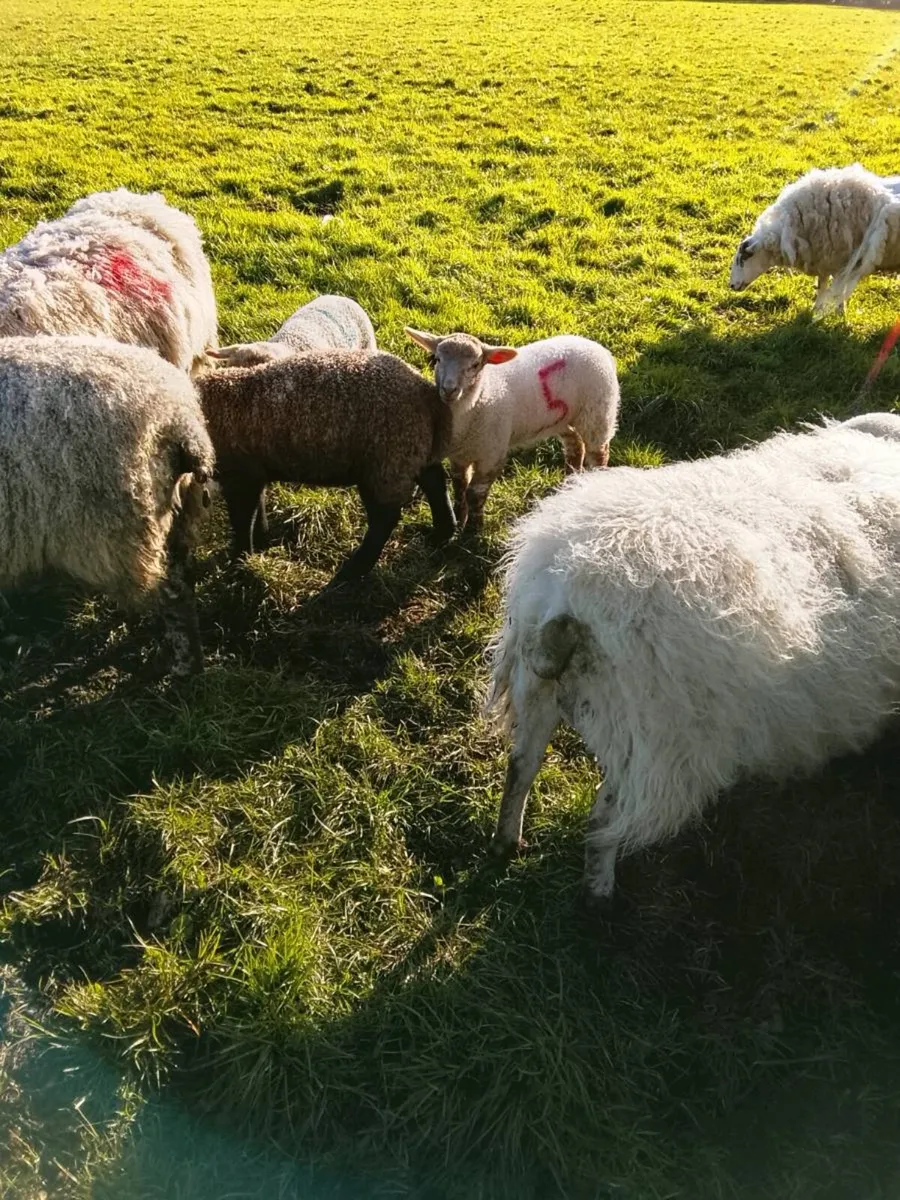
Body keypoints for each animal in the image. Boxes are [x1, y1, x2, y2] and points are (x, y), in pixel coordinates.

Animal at [0, 334, 213, 676]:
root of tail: (179, 420)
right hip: (174, 515)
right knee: (182, 581)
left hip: (114, 530)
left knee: (171, 595)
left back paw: (182, 666)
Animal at [195, 350, 455, 583]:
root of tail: (424, 389)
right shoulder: (253, 469)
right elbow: (257, 508)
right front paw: (259, 541)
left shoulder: (240, 475)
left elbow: (242, 520)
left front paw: (239, 563)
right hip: (411, 448)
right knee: (435, 480)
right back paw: (442, 533)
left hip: (386, 458)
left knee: (385, 518)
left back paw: (353, 571)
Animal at [404, 329, 619, 534]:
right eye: (437, 359)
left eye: (475, 365)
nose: (449, 390)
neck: (479, 398)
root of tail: (597, 347)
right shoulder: (459, 456)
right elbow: (459, 487)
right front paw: (460, 519)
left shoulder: (492, 454)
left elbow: (475, 493)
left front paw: (473, 531)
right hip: (561, 418)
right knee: (575, 446)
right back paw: (570, 483)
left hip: (598, 413)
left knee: (598, 454)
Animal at [486, 413, 900, 908]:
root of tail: (567, 602)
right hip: (653, 741)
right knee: (604, 823)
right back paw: (600, 895)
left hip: (537, 692)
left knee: (520, 769)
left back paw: (507, 843)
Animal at [729, 164, 900, 314]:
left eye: (742, 259)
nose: (731, 285)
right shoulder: (825, 259)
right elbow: (822, 284)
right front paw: (820, 309)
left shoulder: (841, 259)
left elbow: (834, 288)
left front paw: (837, 311)